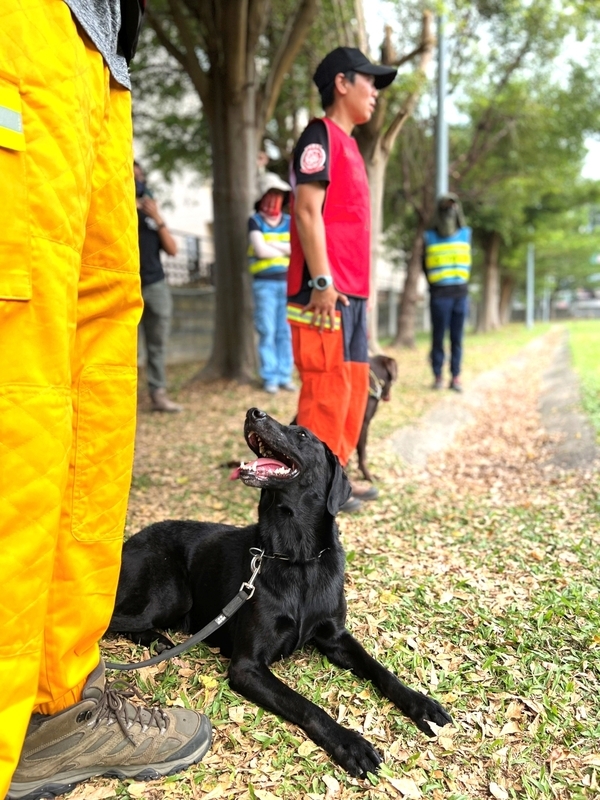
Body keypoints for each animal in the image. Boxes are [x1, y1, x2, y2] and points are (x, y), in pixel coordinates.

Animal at [111, 410, 450, 772]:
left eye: (302, 435)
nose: (253, 412)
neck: (297, 558)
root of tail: (128, 541)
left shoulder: (336, 637)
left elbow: (379, 670)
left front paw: (421, 702)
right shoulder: (247, 667)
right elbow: (305, 704)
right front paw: (350, 742)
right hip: (172, 594)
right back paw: (156, 641)